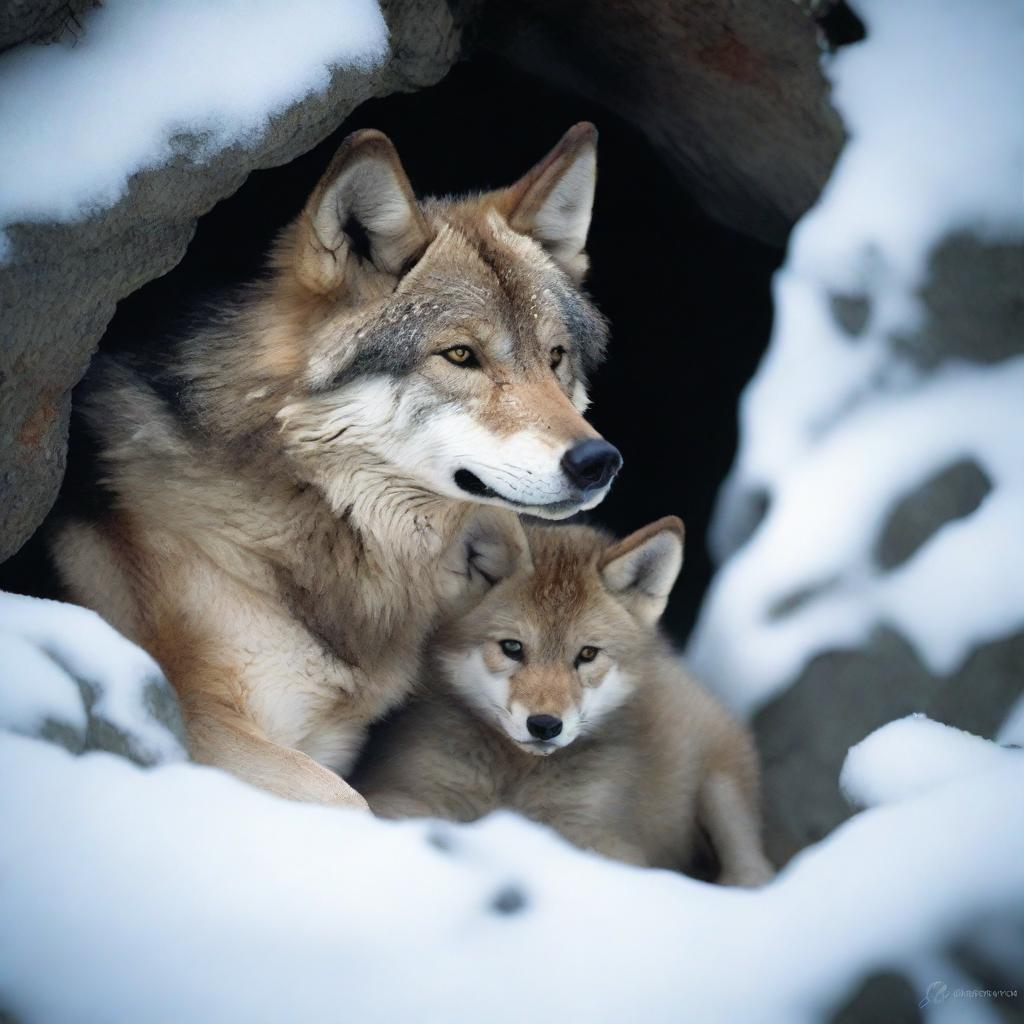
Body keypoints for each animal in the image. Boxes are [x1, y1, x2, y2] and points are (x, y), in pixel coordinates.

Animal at [56, 121, 618, 806]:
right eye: (461, 355)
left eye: (556, 357)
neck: (314, 505)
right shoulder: (201, 726)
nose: (599, 461)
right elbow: (348, 803)